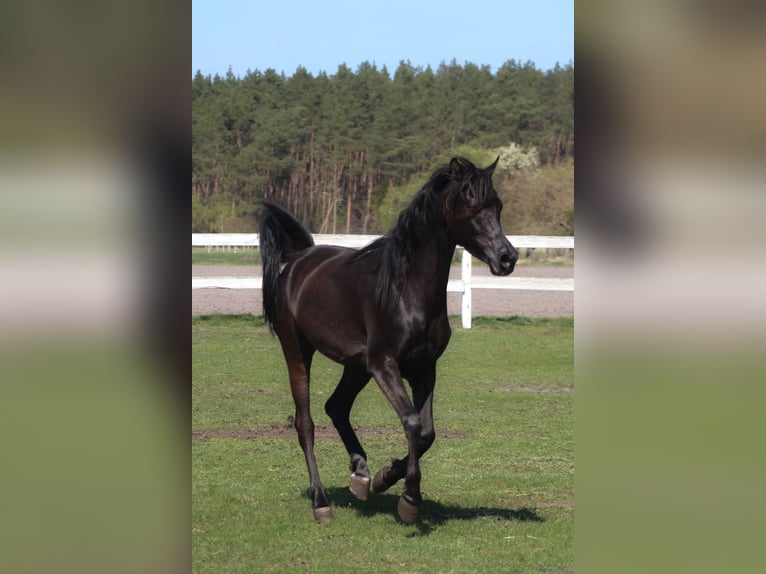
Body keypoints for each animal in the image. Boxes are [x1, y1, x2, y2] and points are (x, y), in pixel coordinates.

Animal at [259, 156, 518, 523]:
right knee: (305, 423)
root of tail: (299, 258)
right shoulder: (384, 364)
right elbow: (411, 421)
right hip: (298, 351)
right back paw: (321, 502)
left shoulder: (424, 369)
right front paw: (409, 498)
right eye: (470, 203)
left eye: (497, 205)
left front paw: (384, 477)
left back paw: (360, 474)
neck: (405, 288)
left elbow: (427, 432)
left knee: (336, 406)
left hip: (356, 366)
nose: (507, 258)